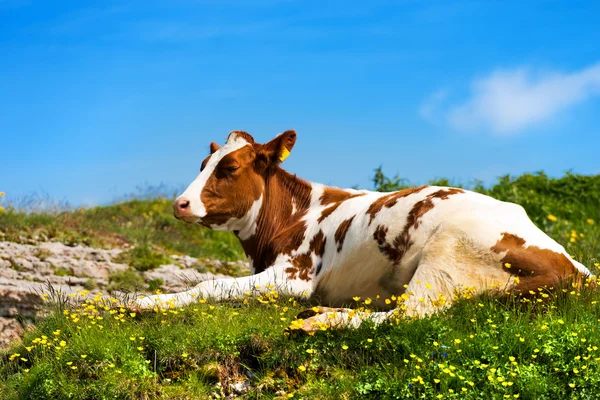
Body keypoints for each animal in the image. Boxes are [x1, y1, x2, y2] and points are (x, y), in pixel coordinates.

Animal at [132, 130, 592, 332]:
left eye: (229, 168)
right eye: (202, 164)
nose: (180, 203)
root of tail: (575, 270)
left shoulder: (294, 275)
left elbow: (210, 284)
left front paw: (145, 300)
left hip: (448, 254)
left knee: (406, 315)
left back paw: (318, 321)